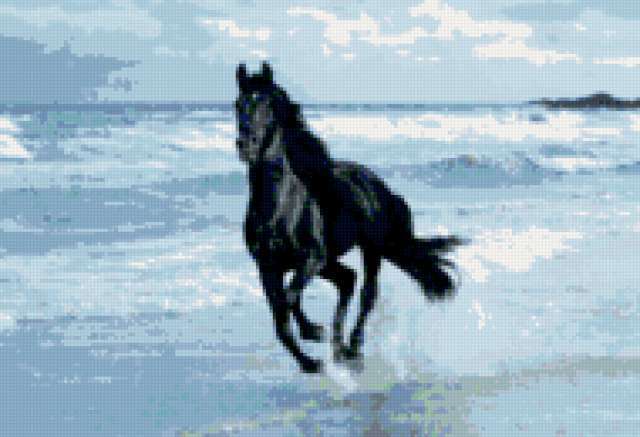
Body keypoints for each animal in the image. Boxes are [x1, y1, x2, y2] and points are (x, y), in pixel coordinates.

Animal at [235, 62, 466, 373]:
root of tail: (379, 186)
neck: (280, 210)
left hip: (371, 250)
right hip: (331, 262)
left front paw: (312, 345)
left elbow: (288, 300)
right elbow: (281, 314)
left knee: (366, 293)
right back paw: (338, 347)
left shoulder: (312, 258)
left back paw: (352, 348)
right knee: (347, 280)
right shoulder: (268, 267)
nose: (245, 145)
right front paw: (310, 357)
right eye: (238, 104)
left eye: (267, 105)